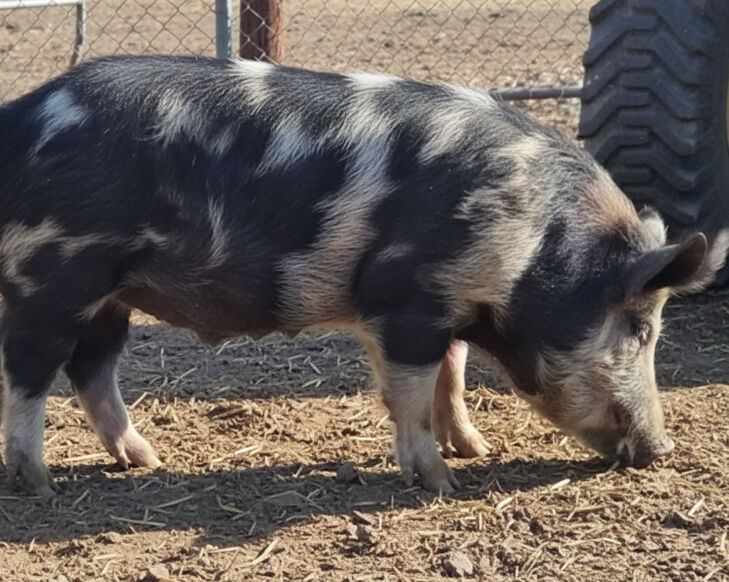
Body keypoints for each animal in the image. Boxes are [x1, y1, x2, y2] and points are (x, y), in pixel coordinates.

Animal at [0, 56, 725, 497]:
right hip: (54, 273)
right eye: (640, 328)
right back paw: (36, 481)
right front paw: (441, 483)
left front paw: (475, 448)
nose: (663, 448)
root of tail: (22, 116)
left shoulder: (450, 304)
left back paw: (146, 460)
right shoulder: (406, 297)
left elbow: (453, 375)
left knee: (91, 368)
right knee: (29, 373)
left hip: (110, 294)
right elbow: (411, 391)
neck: (533, 238)